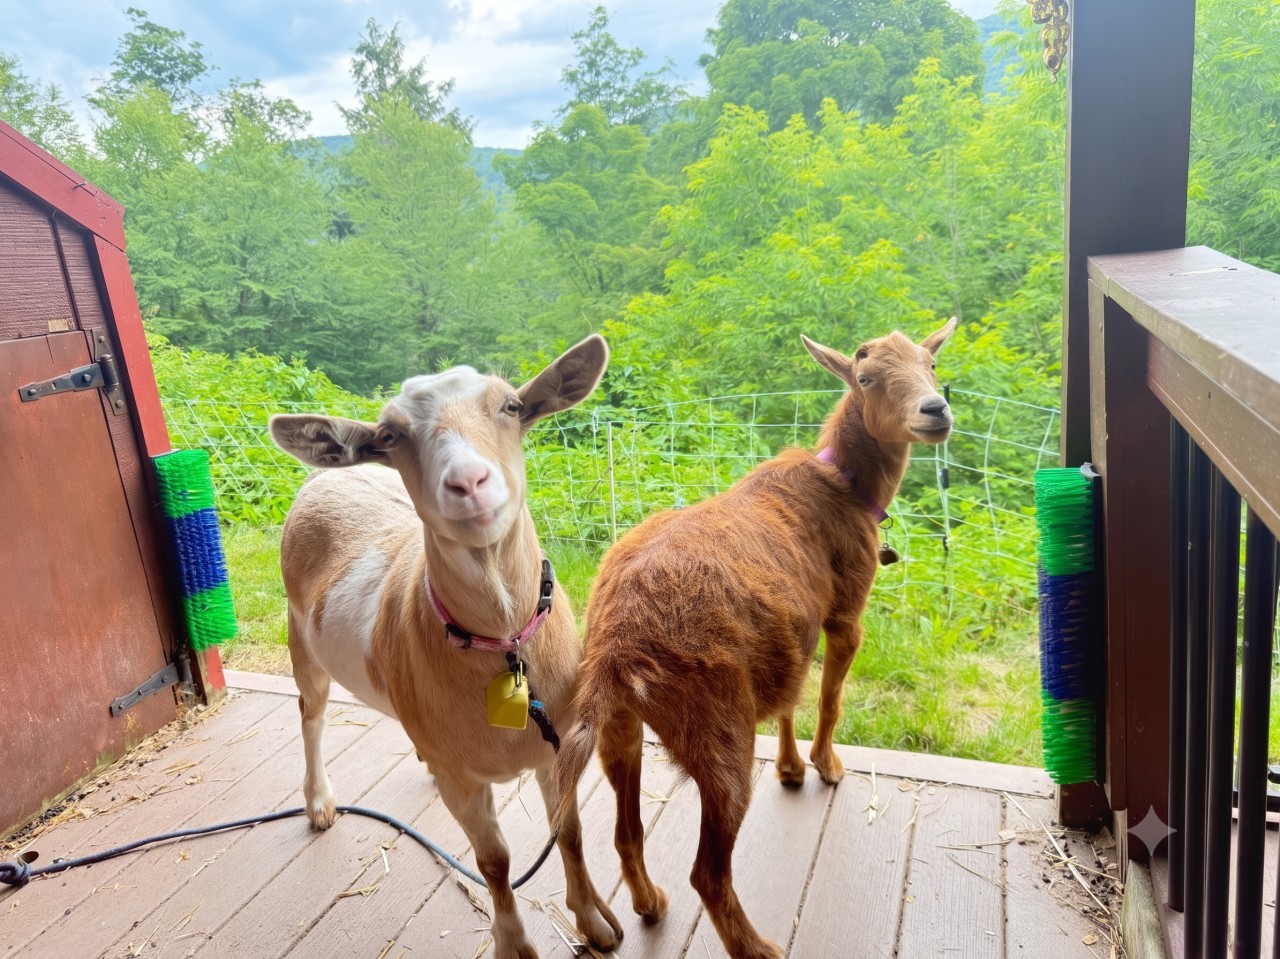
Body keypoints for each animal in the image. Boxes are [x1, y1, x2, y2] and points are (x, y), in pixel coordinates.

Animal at [269, 336, 622, 959]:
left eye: (512, 406)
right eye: (390, 435)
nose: (468, 483)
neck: (501, 639)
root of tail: (323, 478)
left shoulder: (560, 745)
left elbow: (571, 831)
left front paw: (594, 923)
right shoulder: (466, 778)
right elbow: (495, 861)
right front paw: (515, 946)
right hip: (299, 640)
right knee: (311, 714)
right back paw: (319, 802)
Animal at [551, 320, 958, 959]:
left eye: (932, 365)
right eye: (866, 377)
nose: (935, 410)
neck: (845, 486)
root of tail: (616, 644)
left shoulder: (792, 628)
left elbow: (791, 695)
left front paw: (789, 768)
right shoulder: (845, 612)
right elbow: (829, 697)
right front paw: (825, 766)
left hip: (617, 723)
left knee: (627, 831)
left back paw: (649, 903)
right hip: (716, 725)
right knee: (708, 872)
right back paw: (760, 947)